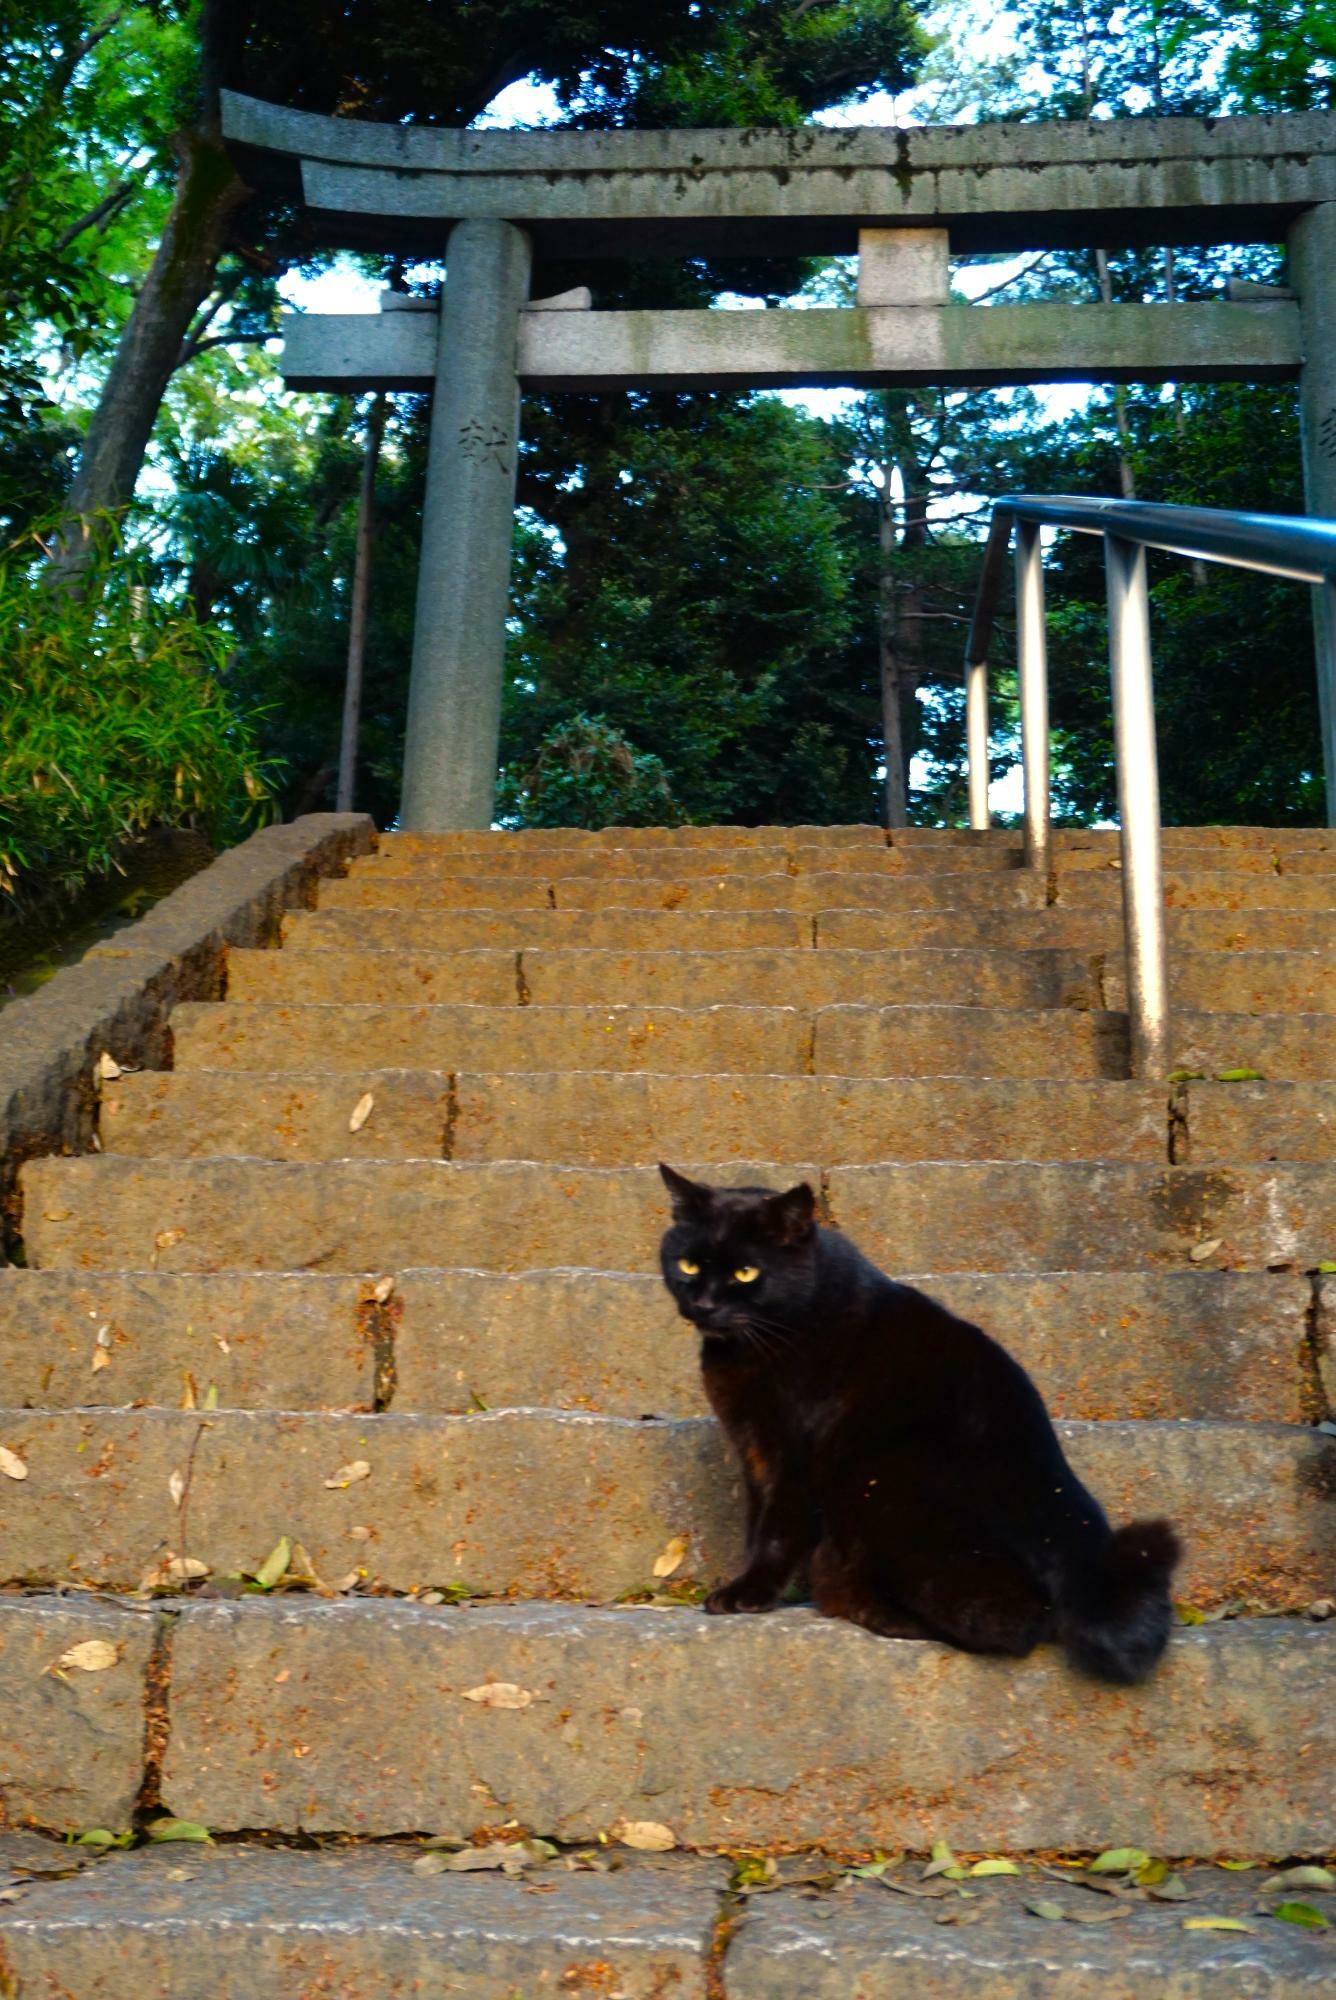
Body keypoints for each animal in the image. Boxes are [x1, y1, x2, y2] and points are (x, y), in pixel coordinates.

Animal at [656, 1168, 1176, 1680]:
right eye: (688, 1265)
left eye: (746, 1272)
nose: (703, 1304)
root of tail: (1079, 1547)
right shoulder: (755, 1450)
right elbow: (755, 1522)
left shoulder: (795, 1456)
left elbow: (776, 1530)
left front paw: (747, 1594)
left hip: (879, 1482)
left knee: (1017, 1624)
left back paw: (876, 1613)